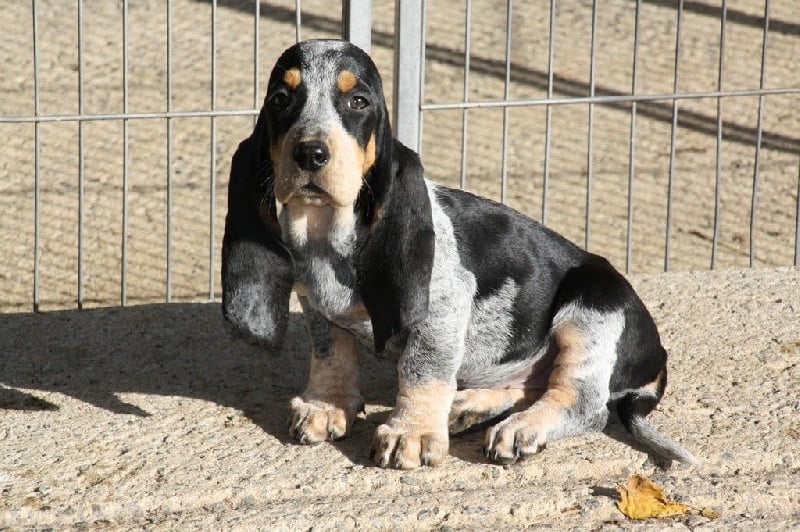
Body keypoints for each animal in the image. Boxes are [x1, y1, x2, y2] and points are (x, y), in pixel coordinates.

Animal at [221, 39, 695, 470]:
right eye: (281, 100)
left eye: (358, 102)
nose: (310, 153)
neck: (327, 235)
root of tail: (657, 353)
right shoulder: (317, 307)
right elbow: (330, 352)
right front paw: (326, 404)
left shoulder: (442, 310)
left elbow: (422, 370)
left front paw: (409, 433)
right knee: (534, 385)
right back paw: (468, 408)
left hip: (591, 306)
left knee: (582, 403)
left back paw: (519, 428)